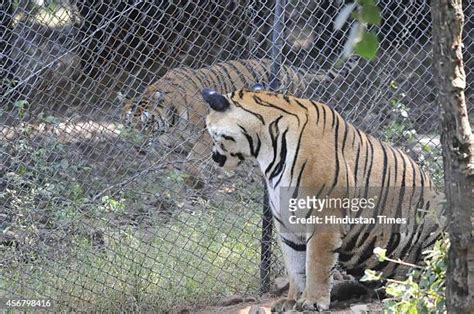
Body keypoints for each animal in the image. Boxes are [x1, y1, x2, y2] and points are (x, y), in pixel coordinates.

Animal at [119, 58, 356, 188]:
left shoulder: (206, 133)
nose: (136, 145)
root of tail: (292, 69)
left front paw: (195, 181)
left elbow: (192, 159)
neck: (171, 119)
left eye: (146, 124)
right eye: (129, 124)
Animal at [203, 86, 444, 312]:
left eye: (210, 133)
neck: (266, 149)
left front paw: (313, 301)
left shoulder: (324, 220)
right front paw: (292, 301)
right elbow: (295, 266)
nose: (213, 157)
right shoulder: (287, 226)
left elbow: (316, 265)